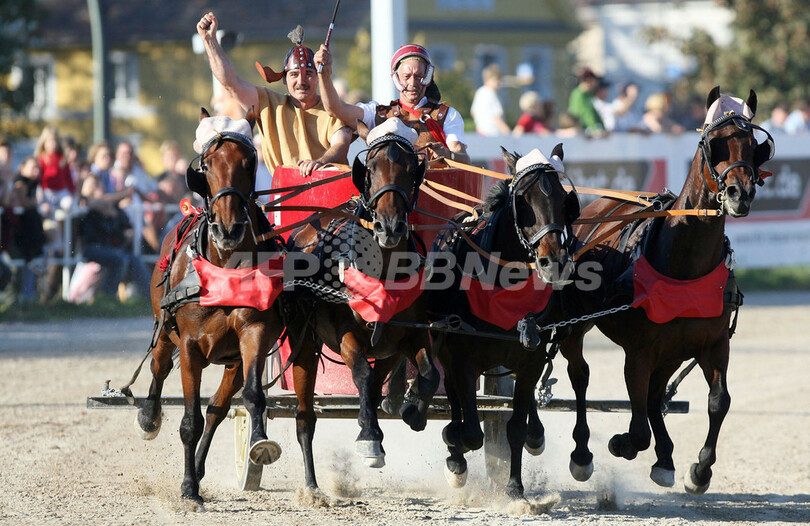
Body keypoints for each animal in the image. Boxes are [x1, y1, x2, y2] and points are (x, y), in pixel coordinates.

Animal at [133, 107, 284, 508]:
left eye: (249, 162)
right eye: (207, 164)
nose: (228, 229)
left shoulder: (253, 334)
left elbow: (252, 397)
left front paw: (259, 442)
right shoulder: (189, 347)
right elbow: (190, 421)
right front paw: (188, 487)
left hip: (232, 361)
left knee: (218, 408)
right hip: (164, 331)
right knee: (158, 368)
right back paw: (150, 418)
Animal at [280, 119, 438, 496]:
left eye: (410, 169)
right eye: (373, 168)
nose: (390, 226)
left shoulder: (410, 335)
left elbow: (429, 374)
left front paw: (413, 409)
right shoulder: (345, 334)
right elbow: (363, 375)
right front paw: (369, 439)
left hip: (387, 346)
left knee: (381, 379)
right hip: (304, 341)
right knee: (308, 413)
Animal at [426, 144, 576, 500]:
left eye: (564, 200)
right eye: (523, 200)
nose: (553, 262)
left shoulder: (530, 358)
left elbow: (515, 426)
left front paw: (515, 487)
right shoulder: (462, 358)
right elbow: (470, 431)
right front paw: (455, 450)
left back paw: (536, 434)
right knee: (455, 401)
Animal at [556, 86, 772, 496]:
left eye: (755, 146)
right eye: (714, 144)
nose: (739, 194)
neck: (685, 266)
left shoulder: (713, 344)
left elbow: (718, 402)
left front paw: (699, 470)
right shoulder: (639, 352)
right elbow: (638, 424)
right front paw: (621, 443)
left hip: (673, 349)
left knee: (656, 397)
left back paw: (666, 458)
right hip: (574, 326)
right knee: (580, 375)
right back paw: (581, 454)